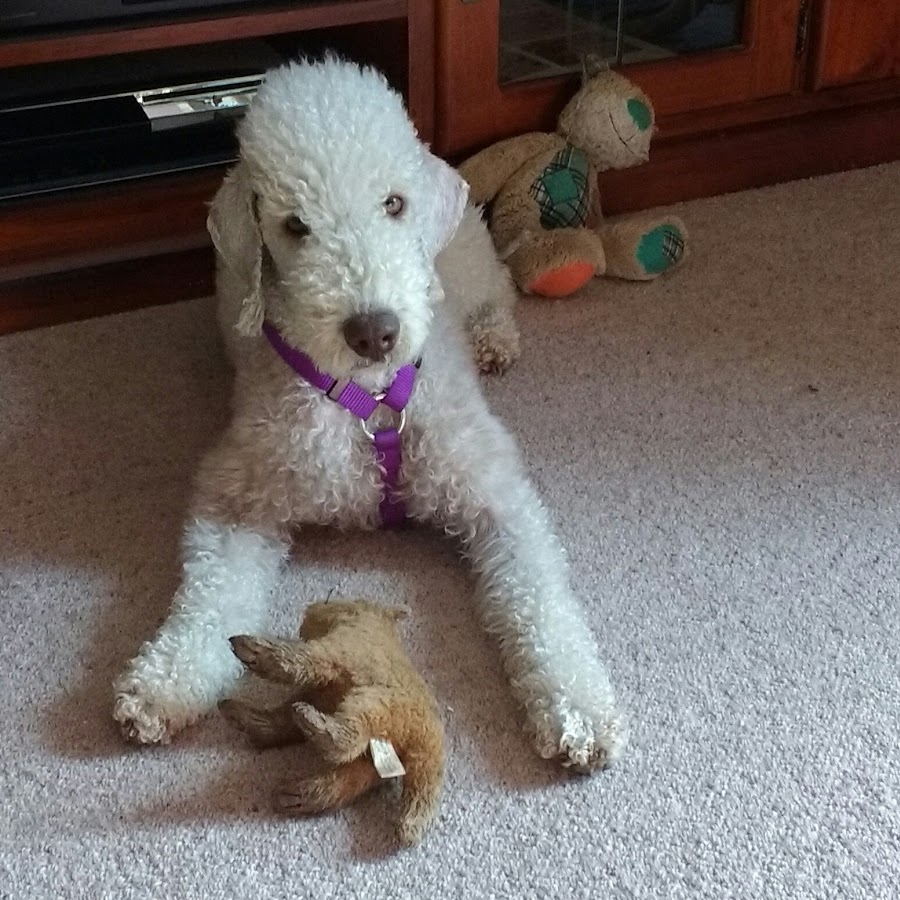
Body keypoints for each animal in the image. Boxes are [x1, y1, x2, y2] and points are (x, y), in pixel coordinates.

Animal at [114, 58, 624, 772]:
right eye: (295, 226)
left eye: (394, 204)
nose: (375, 332)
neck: (370, 398)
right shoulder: (238, 495)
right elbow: (209, 594)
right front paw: (164, 683)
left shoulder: (494, 492)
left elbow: (540, 599)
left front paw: (578, 710)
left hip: (473, 261)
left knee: (497, 293)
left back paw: (495, 338)